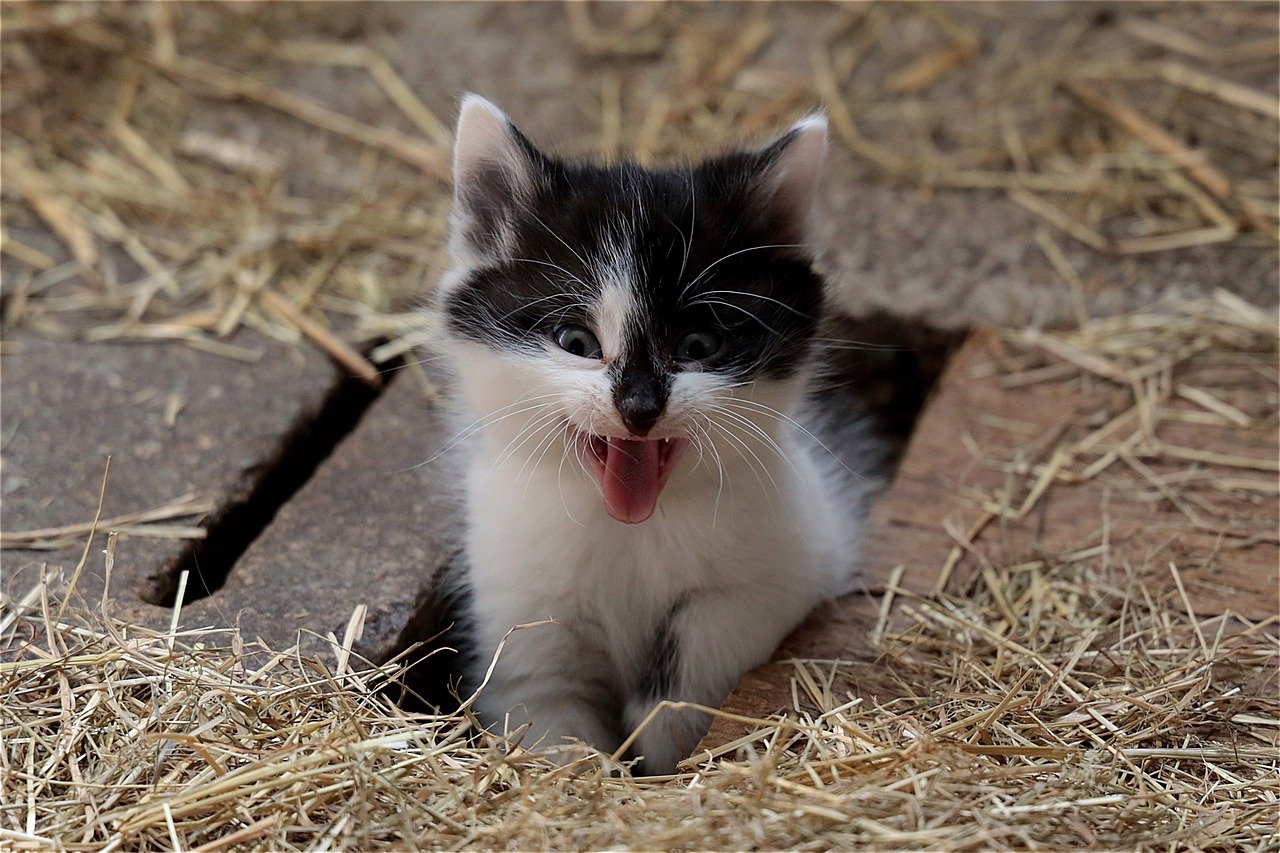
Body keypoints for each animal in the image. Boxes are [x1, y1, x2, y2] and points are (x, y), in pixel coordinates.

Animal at [430, 96, 890, 773]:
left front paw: (662, 729)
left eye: (697, 346)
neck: (631, 531)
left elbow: (704, 636)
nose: (639, 407)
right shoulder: (520, 613)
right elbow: (548, 712)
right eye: (576, 341)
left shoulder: (795, 560)